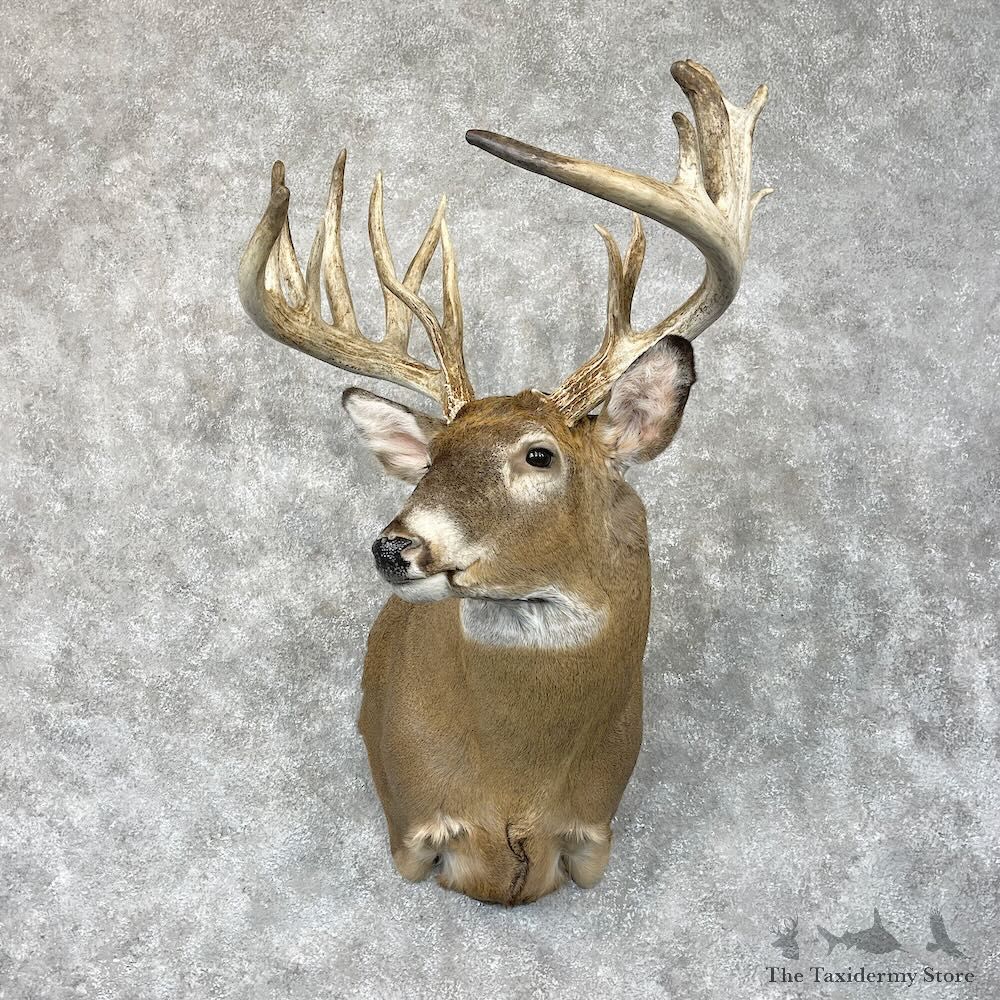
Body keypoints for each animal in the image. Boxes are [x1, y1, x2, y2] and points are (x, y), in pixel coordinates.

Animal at [237, 60, 772, 905]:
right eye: (431, 457)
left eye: (539, 456)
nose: (398, 546)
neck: (515, 793)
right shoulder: (413, 827)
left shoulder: (593, 834)